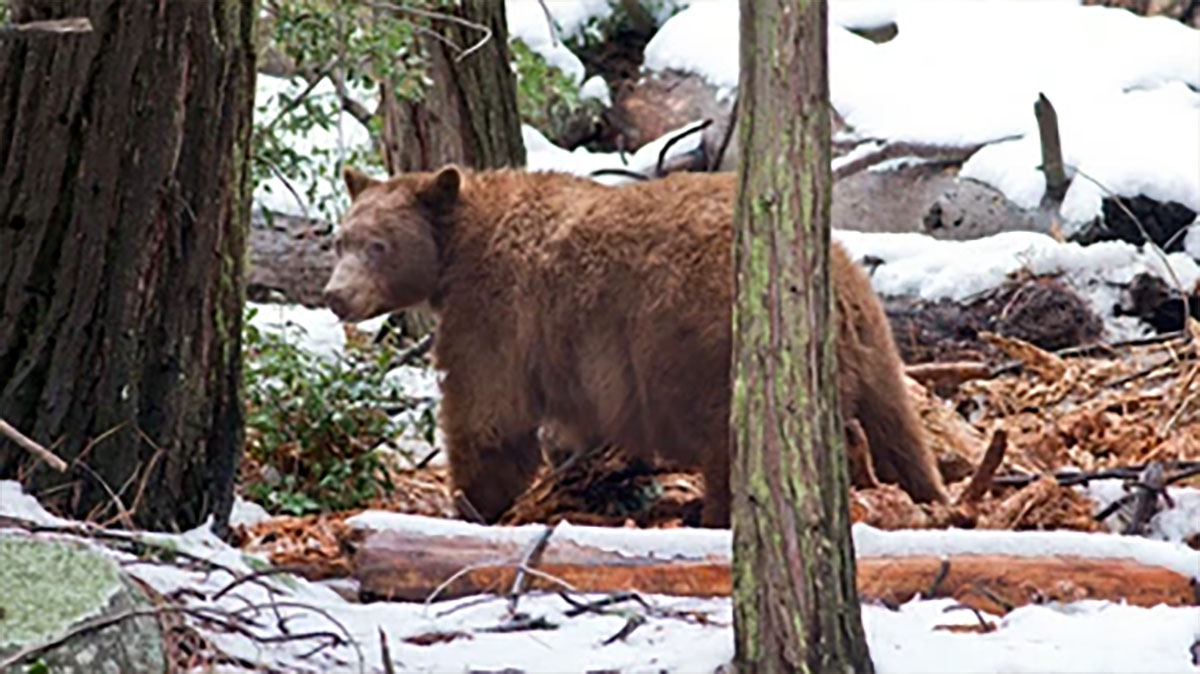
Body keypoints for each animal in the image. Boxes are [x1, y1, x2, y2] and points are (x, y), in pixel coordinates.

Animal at [321, 164, 945, 525]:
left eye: (377, 245)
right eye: (340, 239)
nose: (335, 296)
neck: (458, 249)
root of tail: (835, 290)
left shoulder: (496, 312)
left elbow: (488, 415)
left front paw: (475, 504)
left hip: (711, 352)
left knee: (733, 447)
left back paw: (711, 515)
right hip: (876, 349)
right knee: (898, 432)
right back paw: (929, 495)